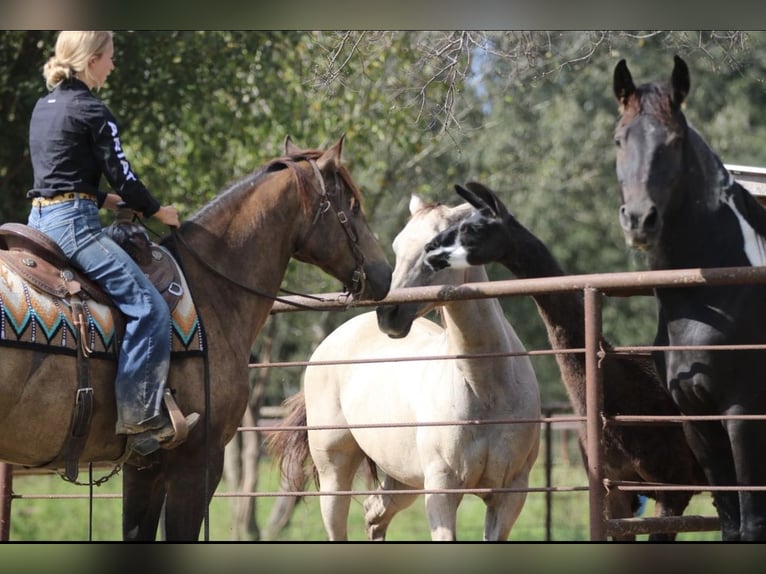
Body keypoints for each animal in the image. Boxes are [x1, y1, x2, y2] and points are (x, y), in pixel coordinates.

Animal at [270, 194, 541, 541]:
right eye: (397, 247)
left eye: (437, 248)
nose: (389, 314)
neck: (487, 388)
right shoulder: (441, 491)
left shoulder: (509, 497)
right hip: (335, 474)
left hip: (402, 480)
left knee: (374, 514)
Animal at [613, 55, 766, 541]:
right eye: (619, 139)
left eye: (675, 141)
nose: (640, 220)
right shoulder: (697, 421)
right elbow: (732, 522)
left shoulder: (744, 417)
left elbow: (751, 524)